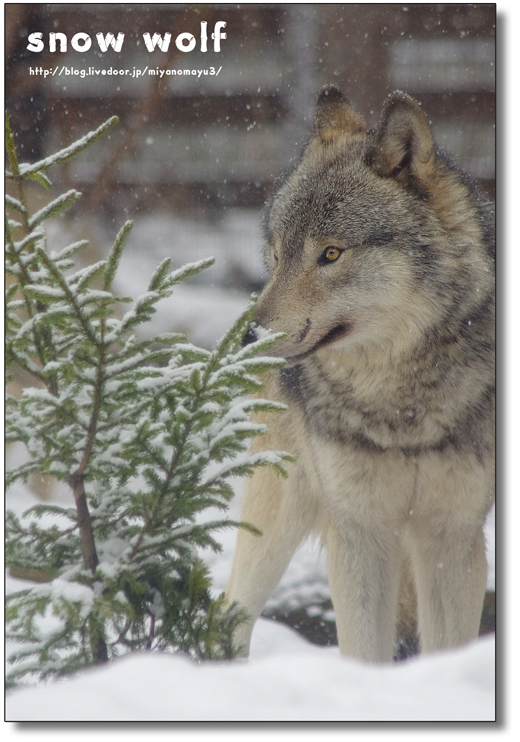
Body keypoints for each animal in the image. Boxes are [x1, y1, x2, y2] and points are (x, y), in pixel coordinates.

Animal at [225, 85, 494, 664]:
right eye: (277, 255)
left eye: (330, 253)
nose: (249, 341)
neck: (401, 402)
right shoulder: (360, 533)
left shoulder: (453, 537)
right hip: (277, 515)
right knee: (227, 613)